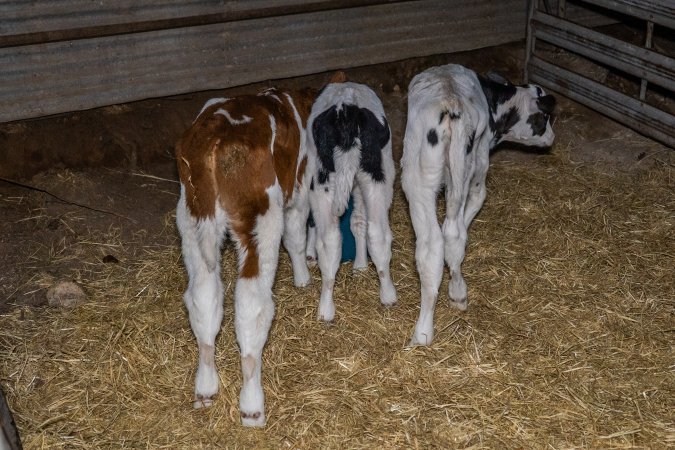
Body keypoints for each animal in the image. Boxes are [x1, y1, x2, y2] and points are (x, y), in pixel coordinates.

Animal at [175, 86, 316, 427]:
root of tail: (215, 138)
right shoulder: (299, 188)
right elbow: (296, 236)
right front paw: (303, 278)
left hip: (190, 218)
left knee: (204, 295)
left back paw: (205, 388)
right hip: (260, 218)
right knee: (251, 304)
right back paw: (252, 405)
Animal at [306, 80, 397, 322]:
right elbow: (358, 221)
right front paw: (361, 266)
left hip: (322, 180)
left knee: (329, 240)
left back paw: (325, 309)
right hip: (377, 175)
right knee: (377, 233)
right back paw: (388, 295)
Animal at [401, 64, 556, 346]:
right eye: (545, 118)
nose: (551, 137)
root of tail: (450, 102)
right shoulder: (479, 173)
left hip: (417, 180)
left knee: (431, 245)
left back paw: (423, 333)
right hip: (465, 170)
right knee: (453, 233)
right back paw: (458, 293)